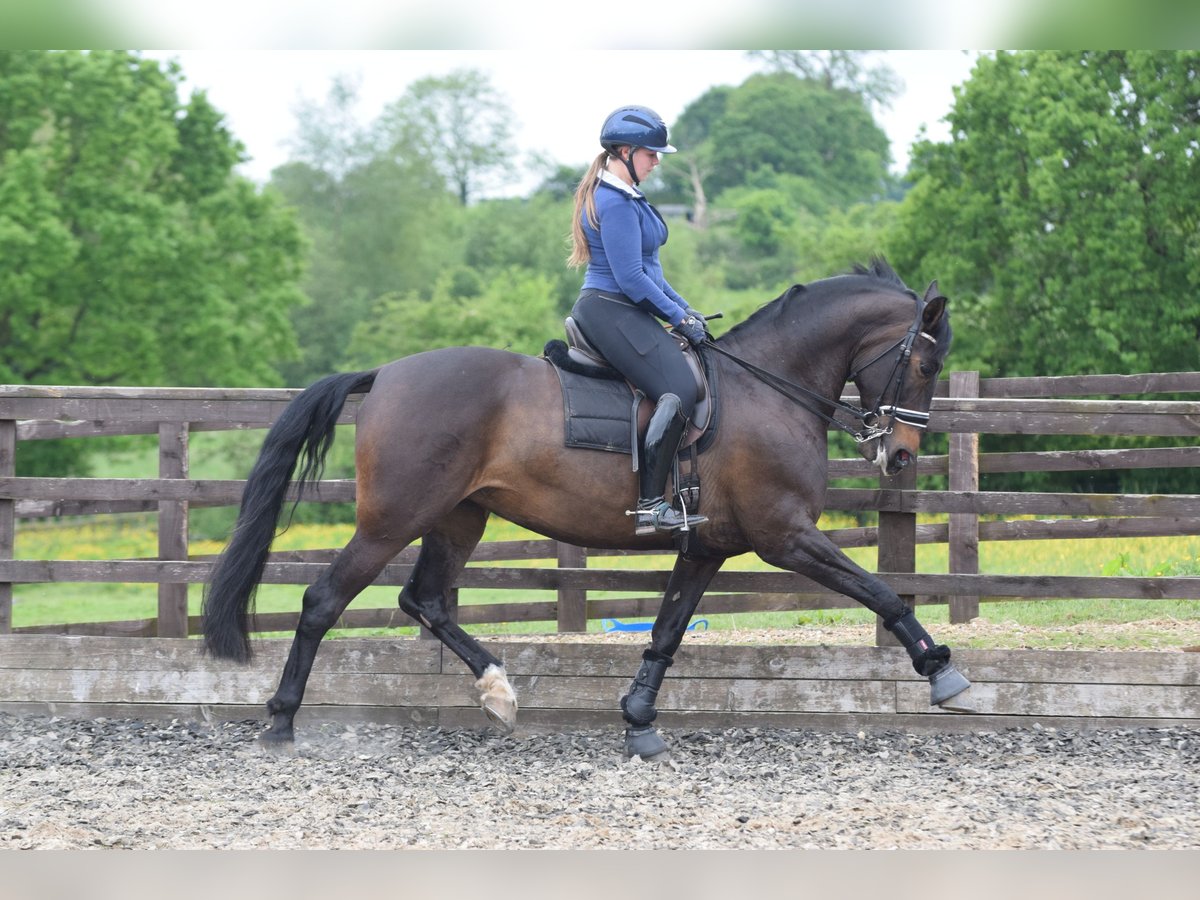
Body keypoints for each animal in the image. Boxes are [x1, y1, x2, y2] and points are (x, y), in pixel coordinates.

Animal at [204, 260, 974, 763]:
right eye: (925, 366)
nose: (900, 456)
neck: (769, 388)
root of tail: (386, 374)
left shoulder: (708, 546)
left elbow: (666, 631)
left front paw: (638, 722)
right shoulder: (784, 535)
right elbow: (878, 591)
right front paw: (942, 671)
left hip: (459, 517)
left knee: (426, 600)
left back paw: (499, 692)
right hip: (393, 520)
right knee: (322, 600)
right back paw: (280, 724)